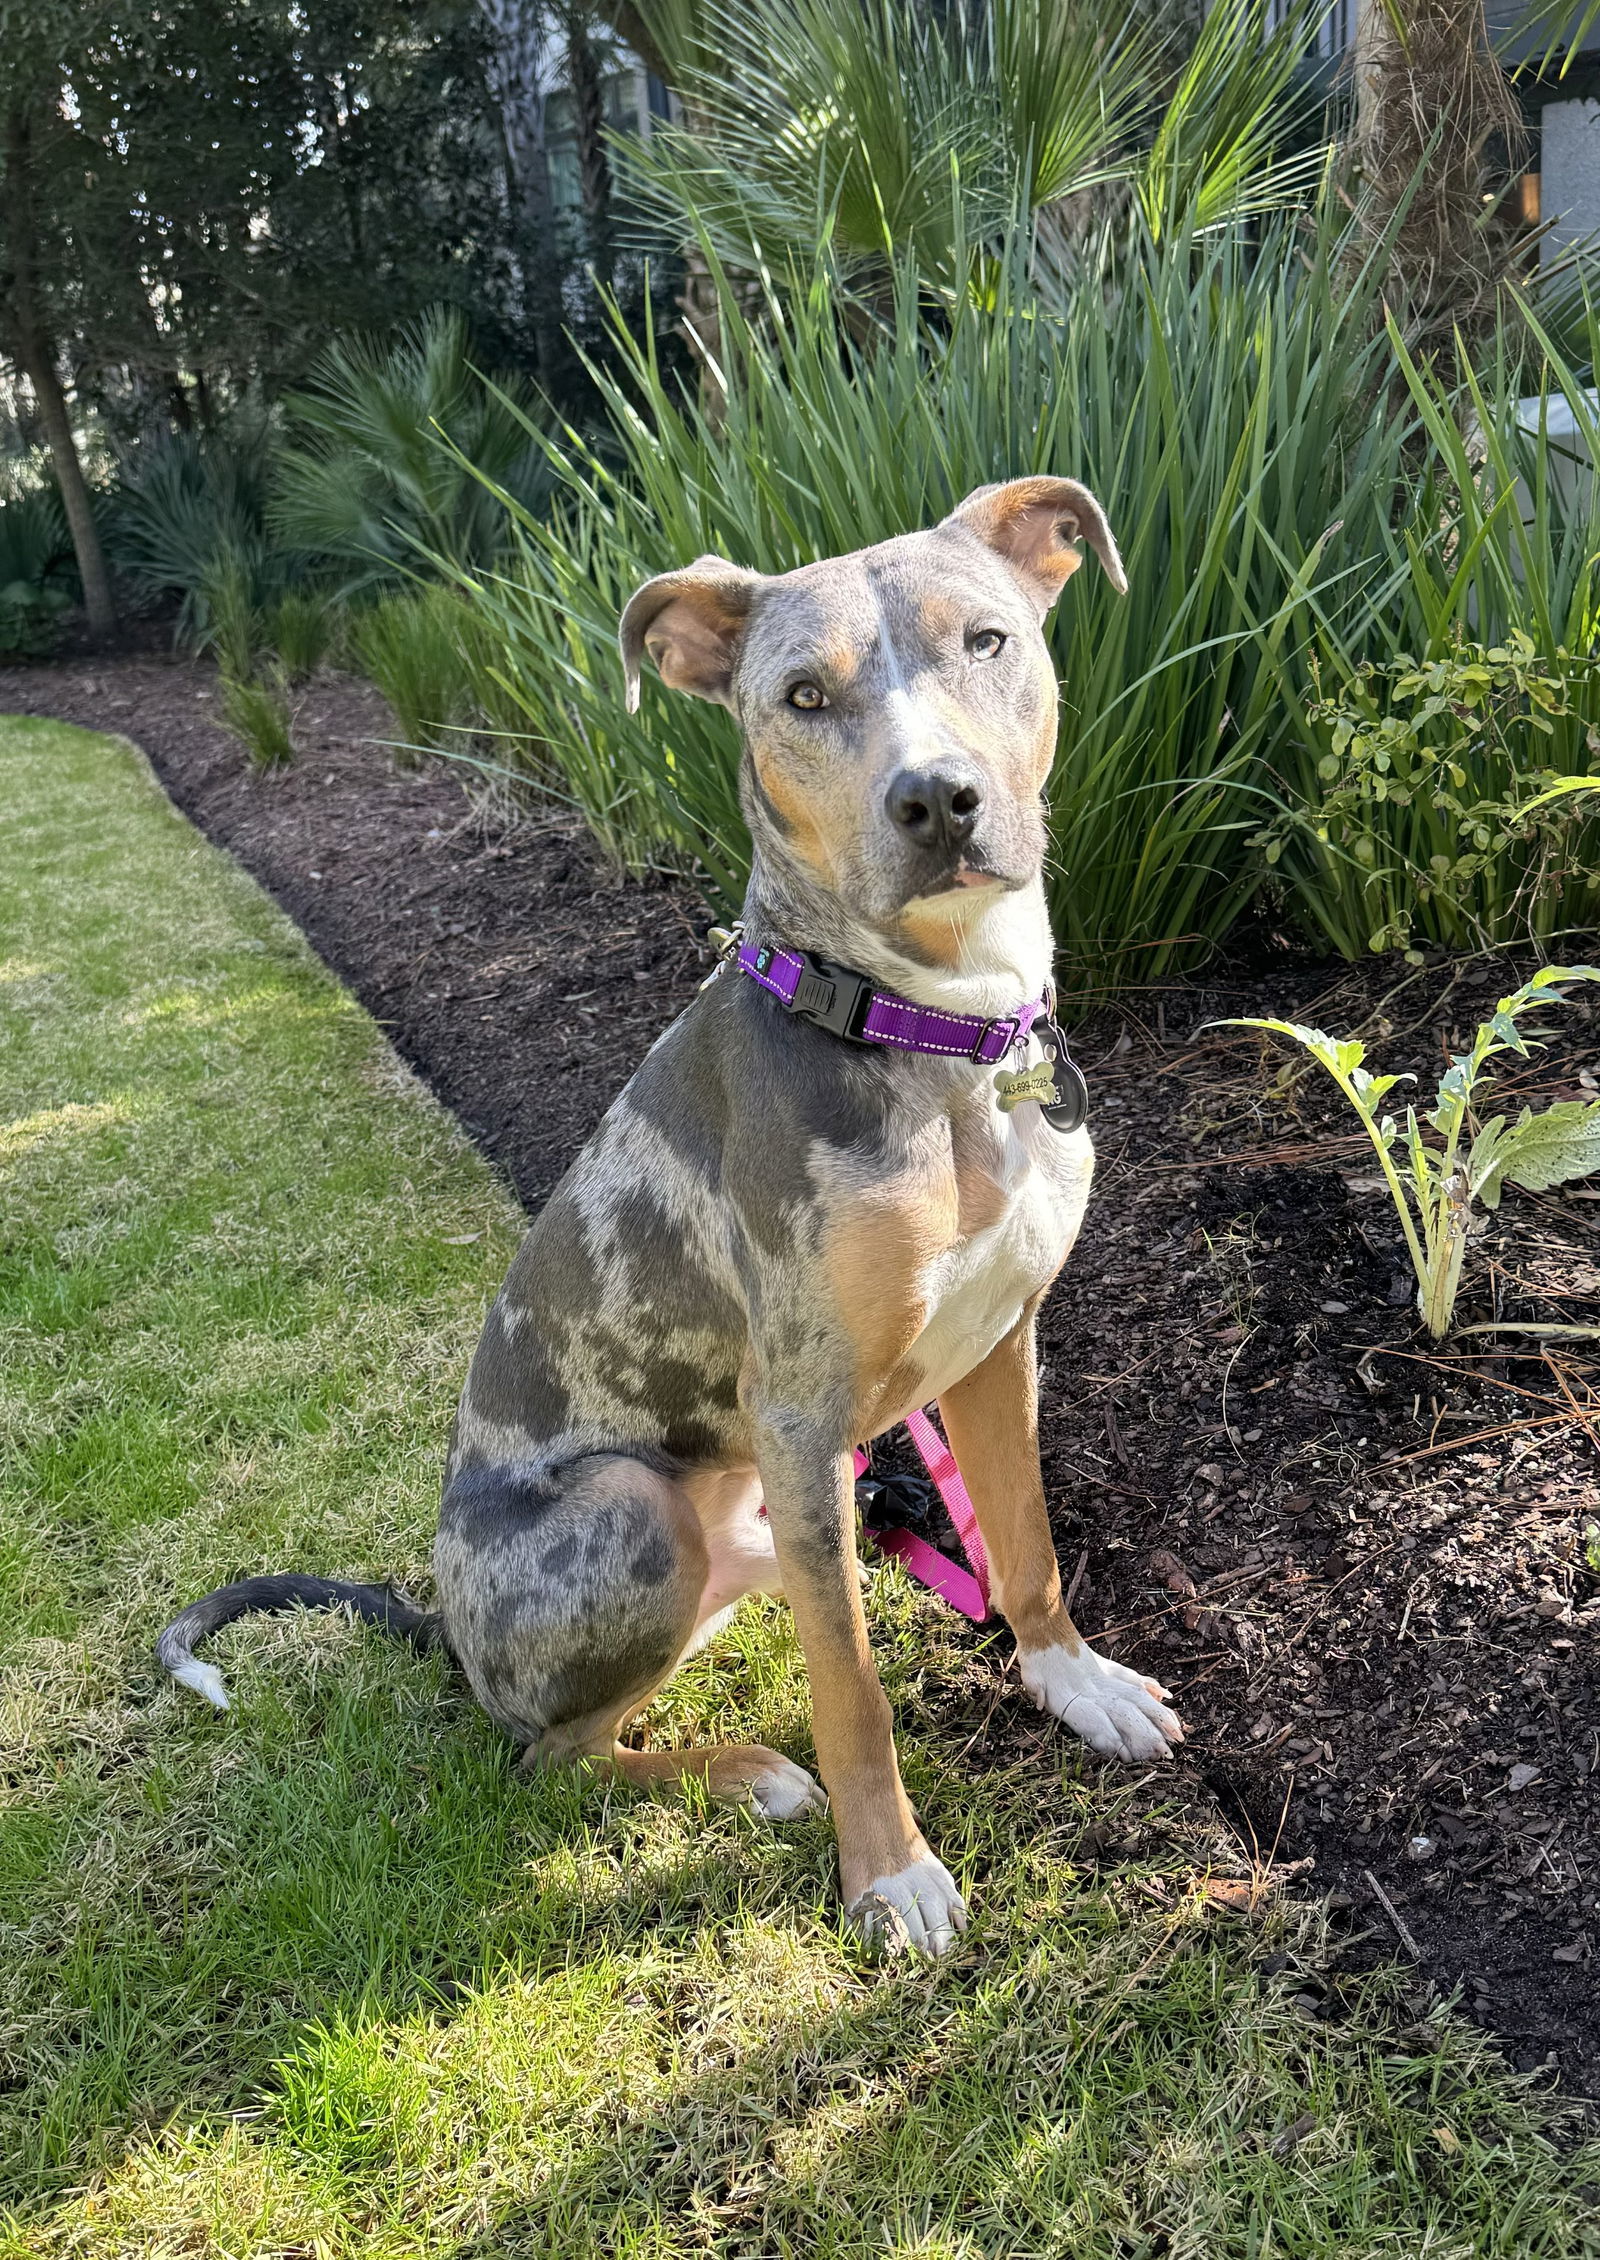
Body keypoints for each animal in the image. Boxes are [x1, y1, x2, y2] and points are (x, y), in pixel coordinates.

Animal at [159, 481, 1184, 1961]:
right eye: (803, 695)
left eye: (987, 639)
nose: (938, 799)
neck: (937, 1034)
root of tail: (445, 1627)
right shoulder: (807, 1416)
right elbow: (853, 1686)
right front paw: (891, 1874)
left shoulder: (1000, 1345)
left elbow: (1028, 1544)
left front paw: (1074, 1682)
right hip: (642, 1510)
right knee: (543, 1755)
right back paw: (749, 1775)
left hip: (753, 1536)